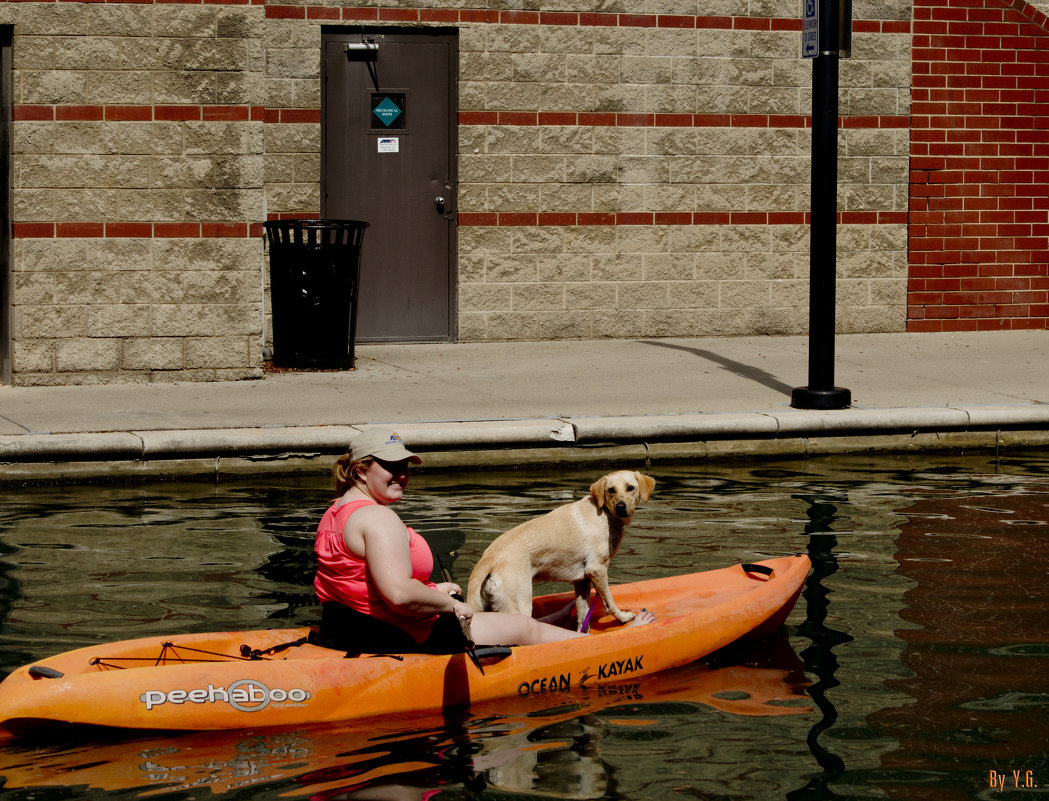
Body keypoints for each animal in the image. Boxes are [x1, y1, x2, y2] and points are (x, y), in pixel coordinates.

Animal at [467, 469, 654, 633]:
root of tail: (489, 556)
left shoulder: (582, 580)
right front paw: (623, 617)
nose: (621, 507)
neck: (606, 513)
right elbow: (610, 601)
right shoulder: (597, 569)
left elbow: (583, 616)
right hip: (519, 606)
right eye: (611, 490)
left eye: (630, 487)